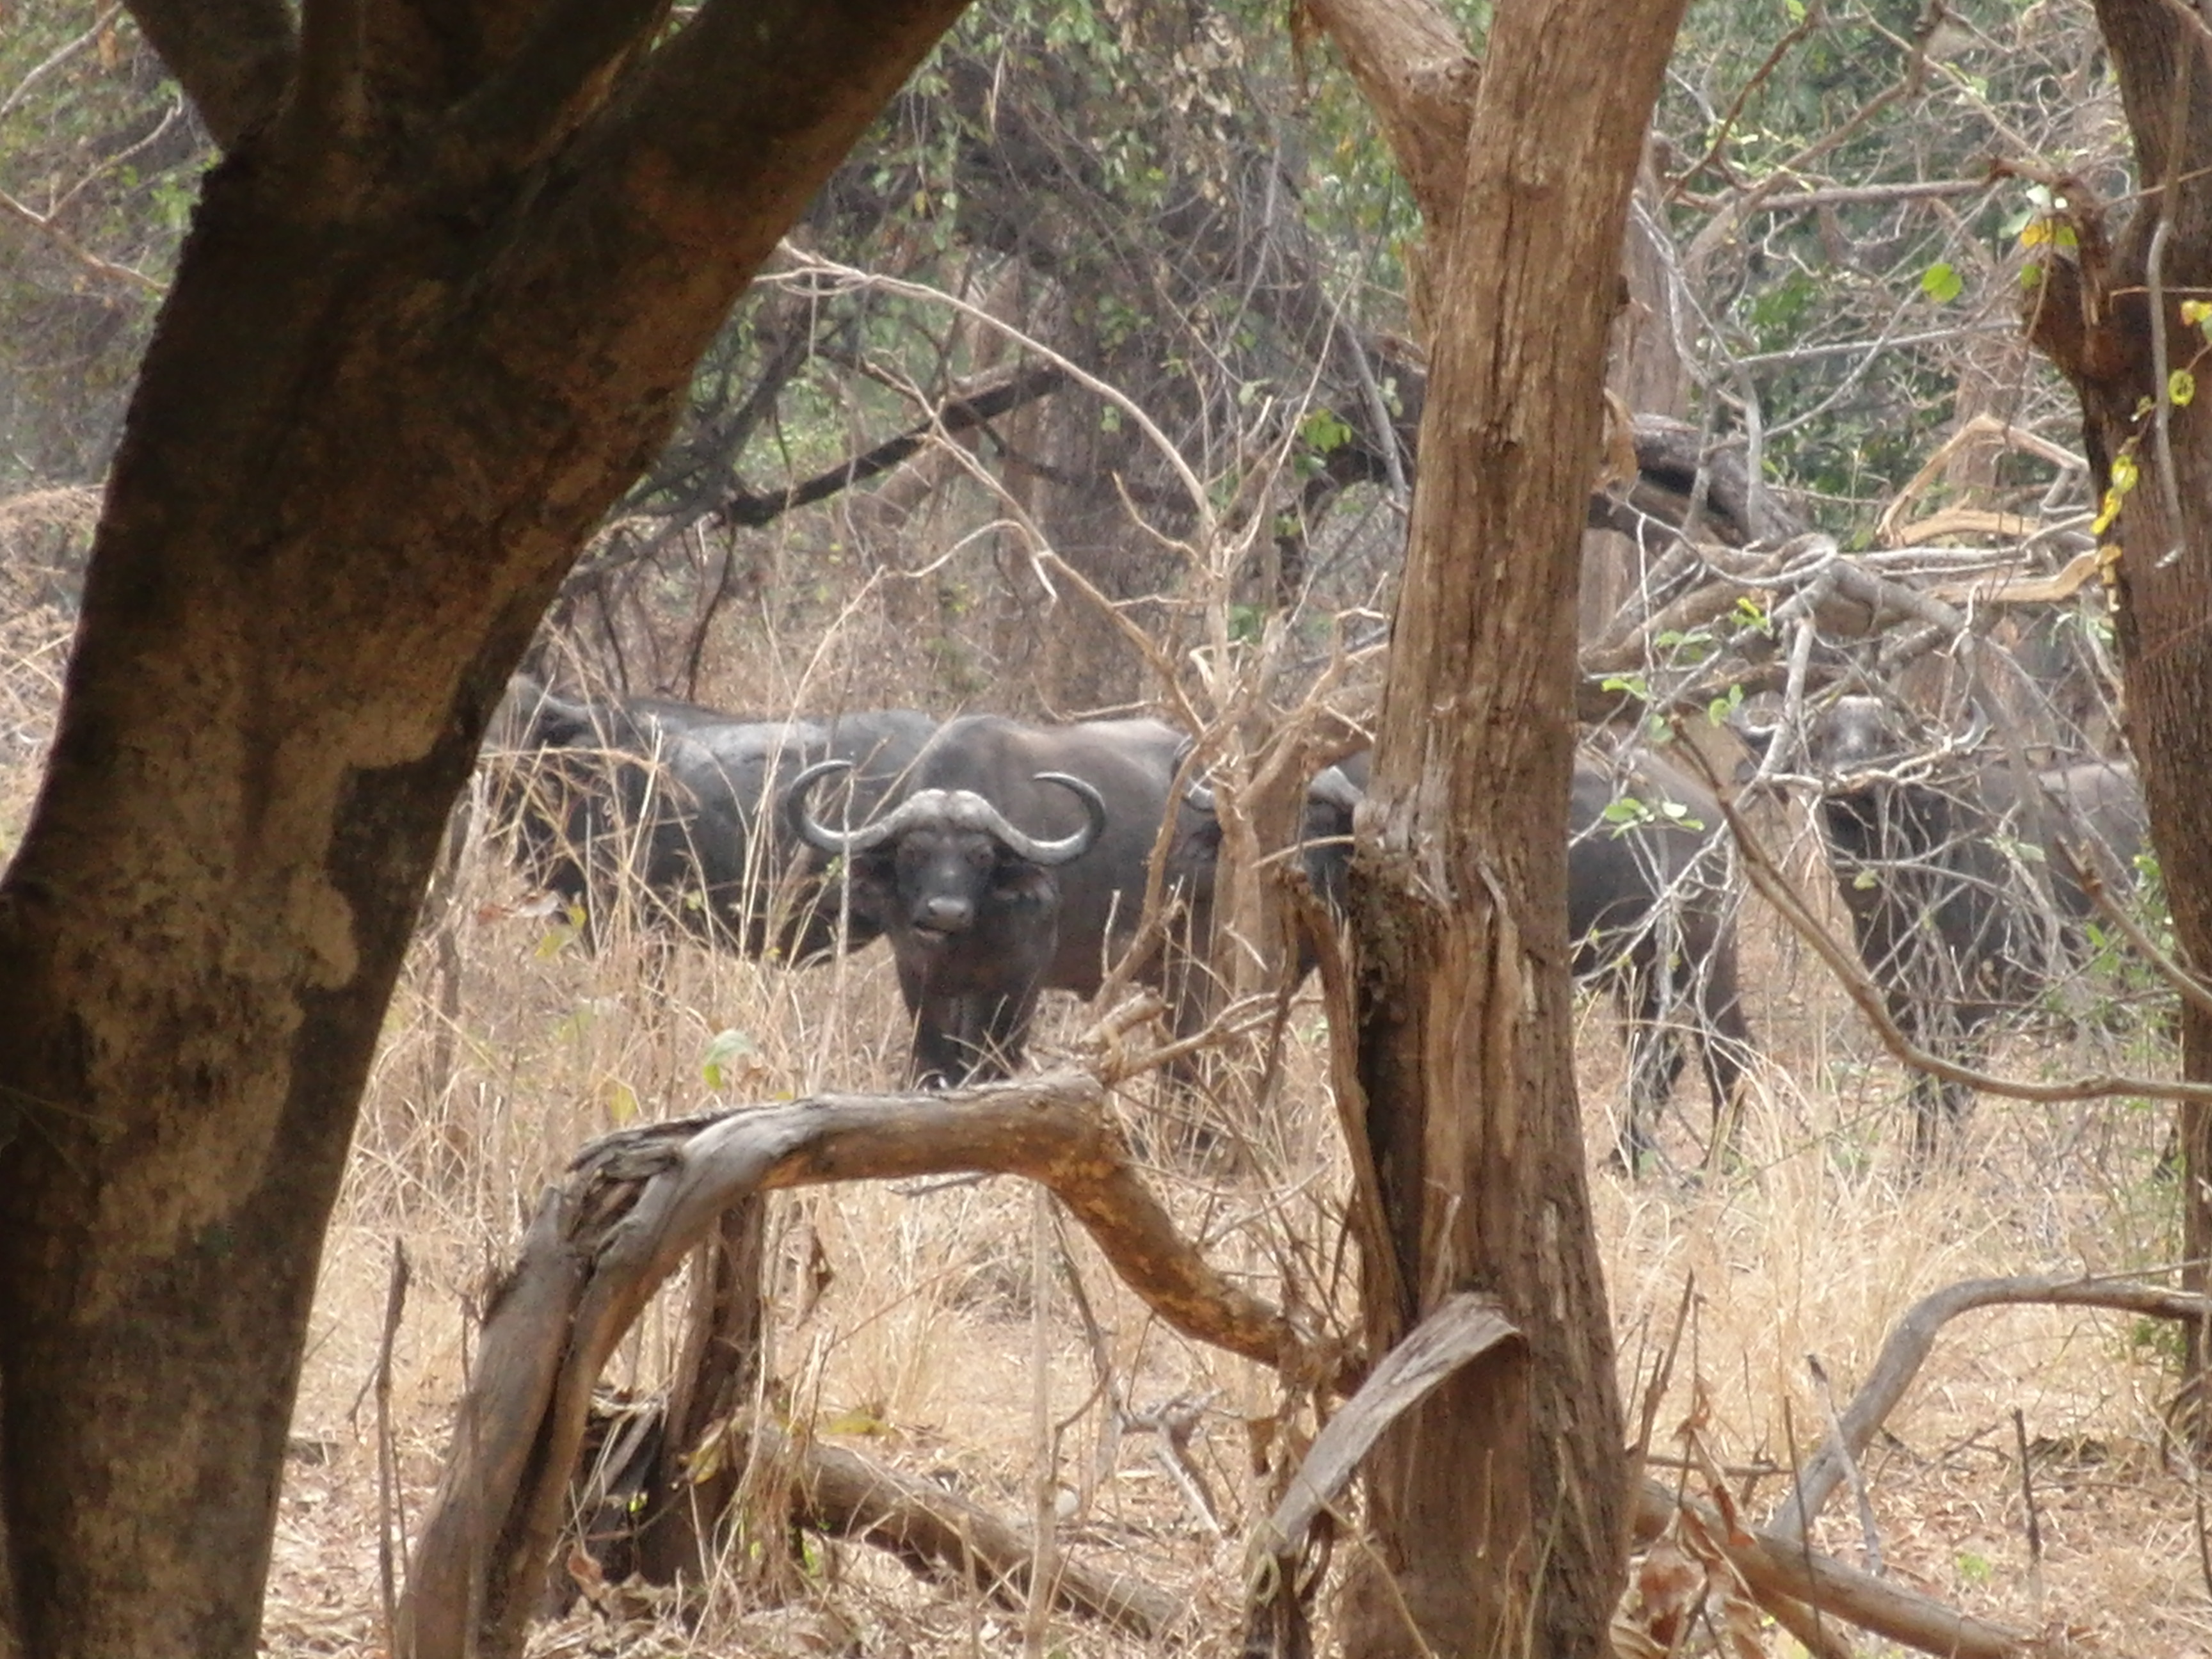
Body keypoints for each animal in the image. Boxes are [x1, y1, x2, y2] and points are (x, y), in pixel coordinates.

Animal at [792, 716, 1221, 1093]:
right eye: (913, 852)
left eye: (982, 856)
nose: (946, 912)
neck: (966, 940)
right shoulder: (917, 973)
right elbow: (935, 1060)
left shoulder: (1021, 979)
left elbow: (993, 1062)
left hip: (1191, 963)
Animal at [1301, 748, 1752, 1176]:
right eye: (1303, 826)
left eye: (1322, 828)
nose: (1303, 872)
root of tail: (1715, 823)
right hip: (1643, 980)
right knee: (1667, 1059)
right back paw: (1637, 1161)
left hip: (1695, 966)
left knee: (1723, 1055)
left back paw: (1710, 1167)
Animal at [1796, 694, 2141, 1158]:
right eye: (1822, 736)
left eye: (1885, 736)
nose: (1848, 777)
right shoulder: (1901, 996)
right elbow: (1923, 1085)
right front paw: (1920, 1158)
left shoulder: (1975, 1003)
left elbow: (1957, 1087)